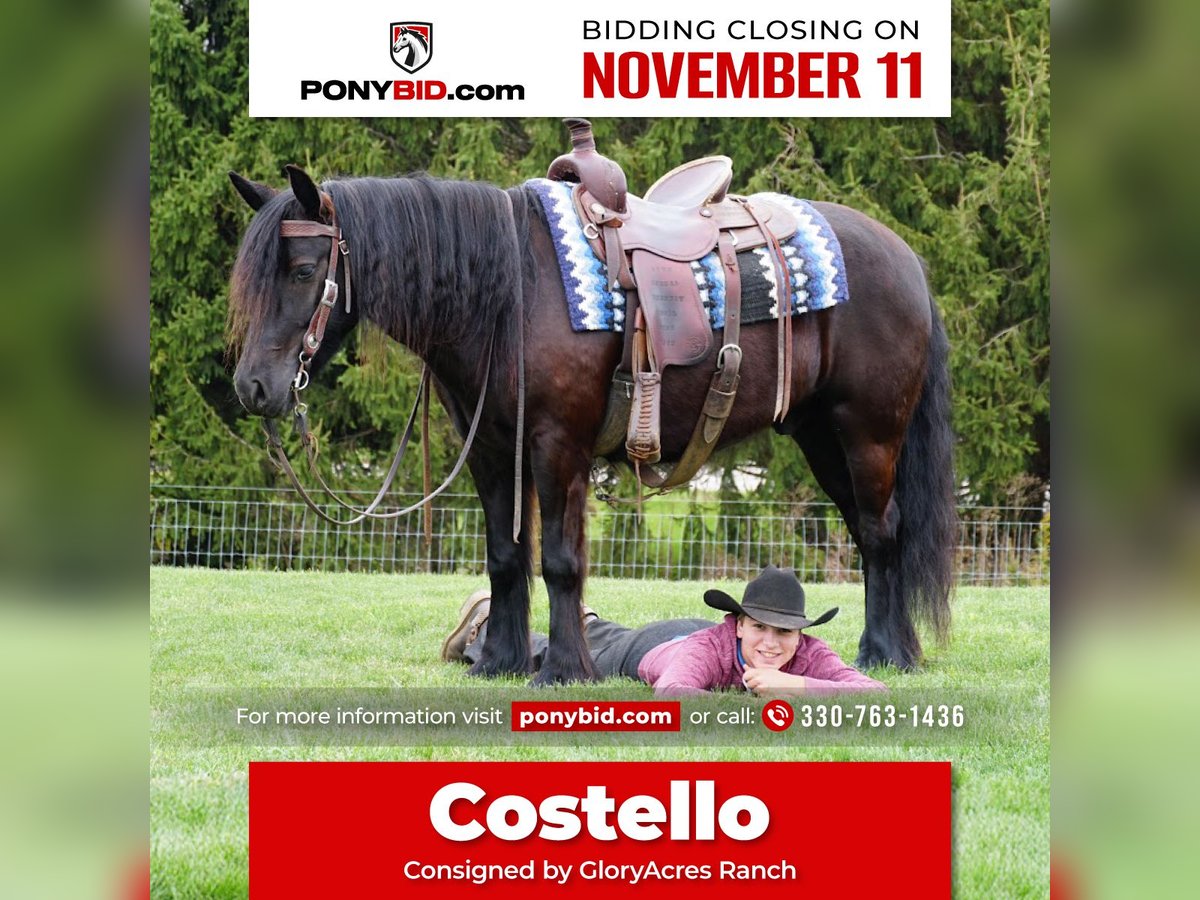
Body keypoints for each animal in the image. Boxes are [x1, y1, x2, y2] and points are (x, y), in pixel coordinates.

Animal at [226, 161, 957, 684]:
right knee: (868, 532)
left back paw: (887, 653)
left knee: (883, 534)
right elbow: (505, 557)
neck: (513, 290)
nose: (252, 387)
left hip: (868, 433)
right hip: (820, 436)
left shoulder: (558, 446)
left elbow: (560, 561)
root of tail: (907, 259)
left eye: (302, 269)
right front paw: (501, 661)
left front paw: (563, 671)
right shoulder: (492, 449)